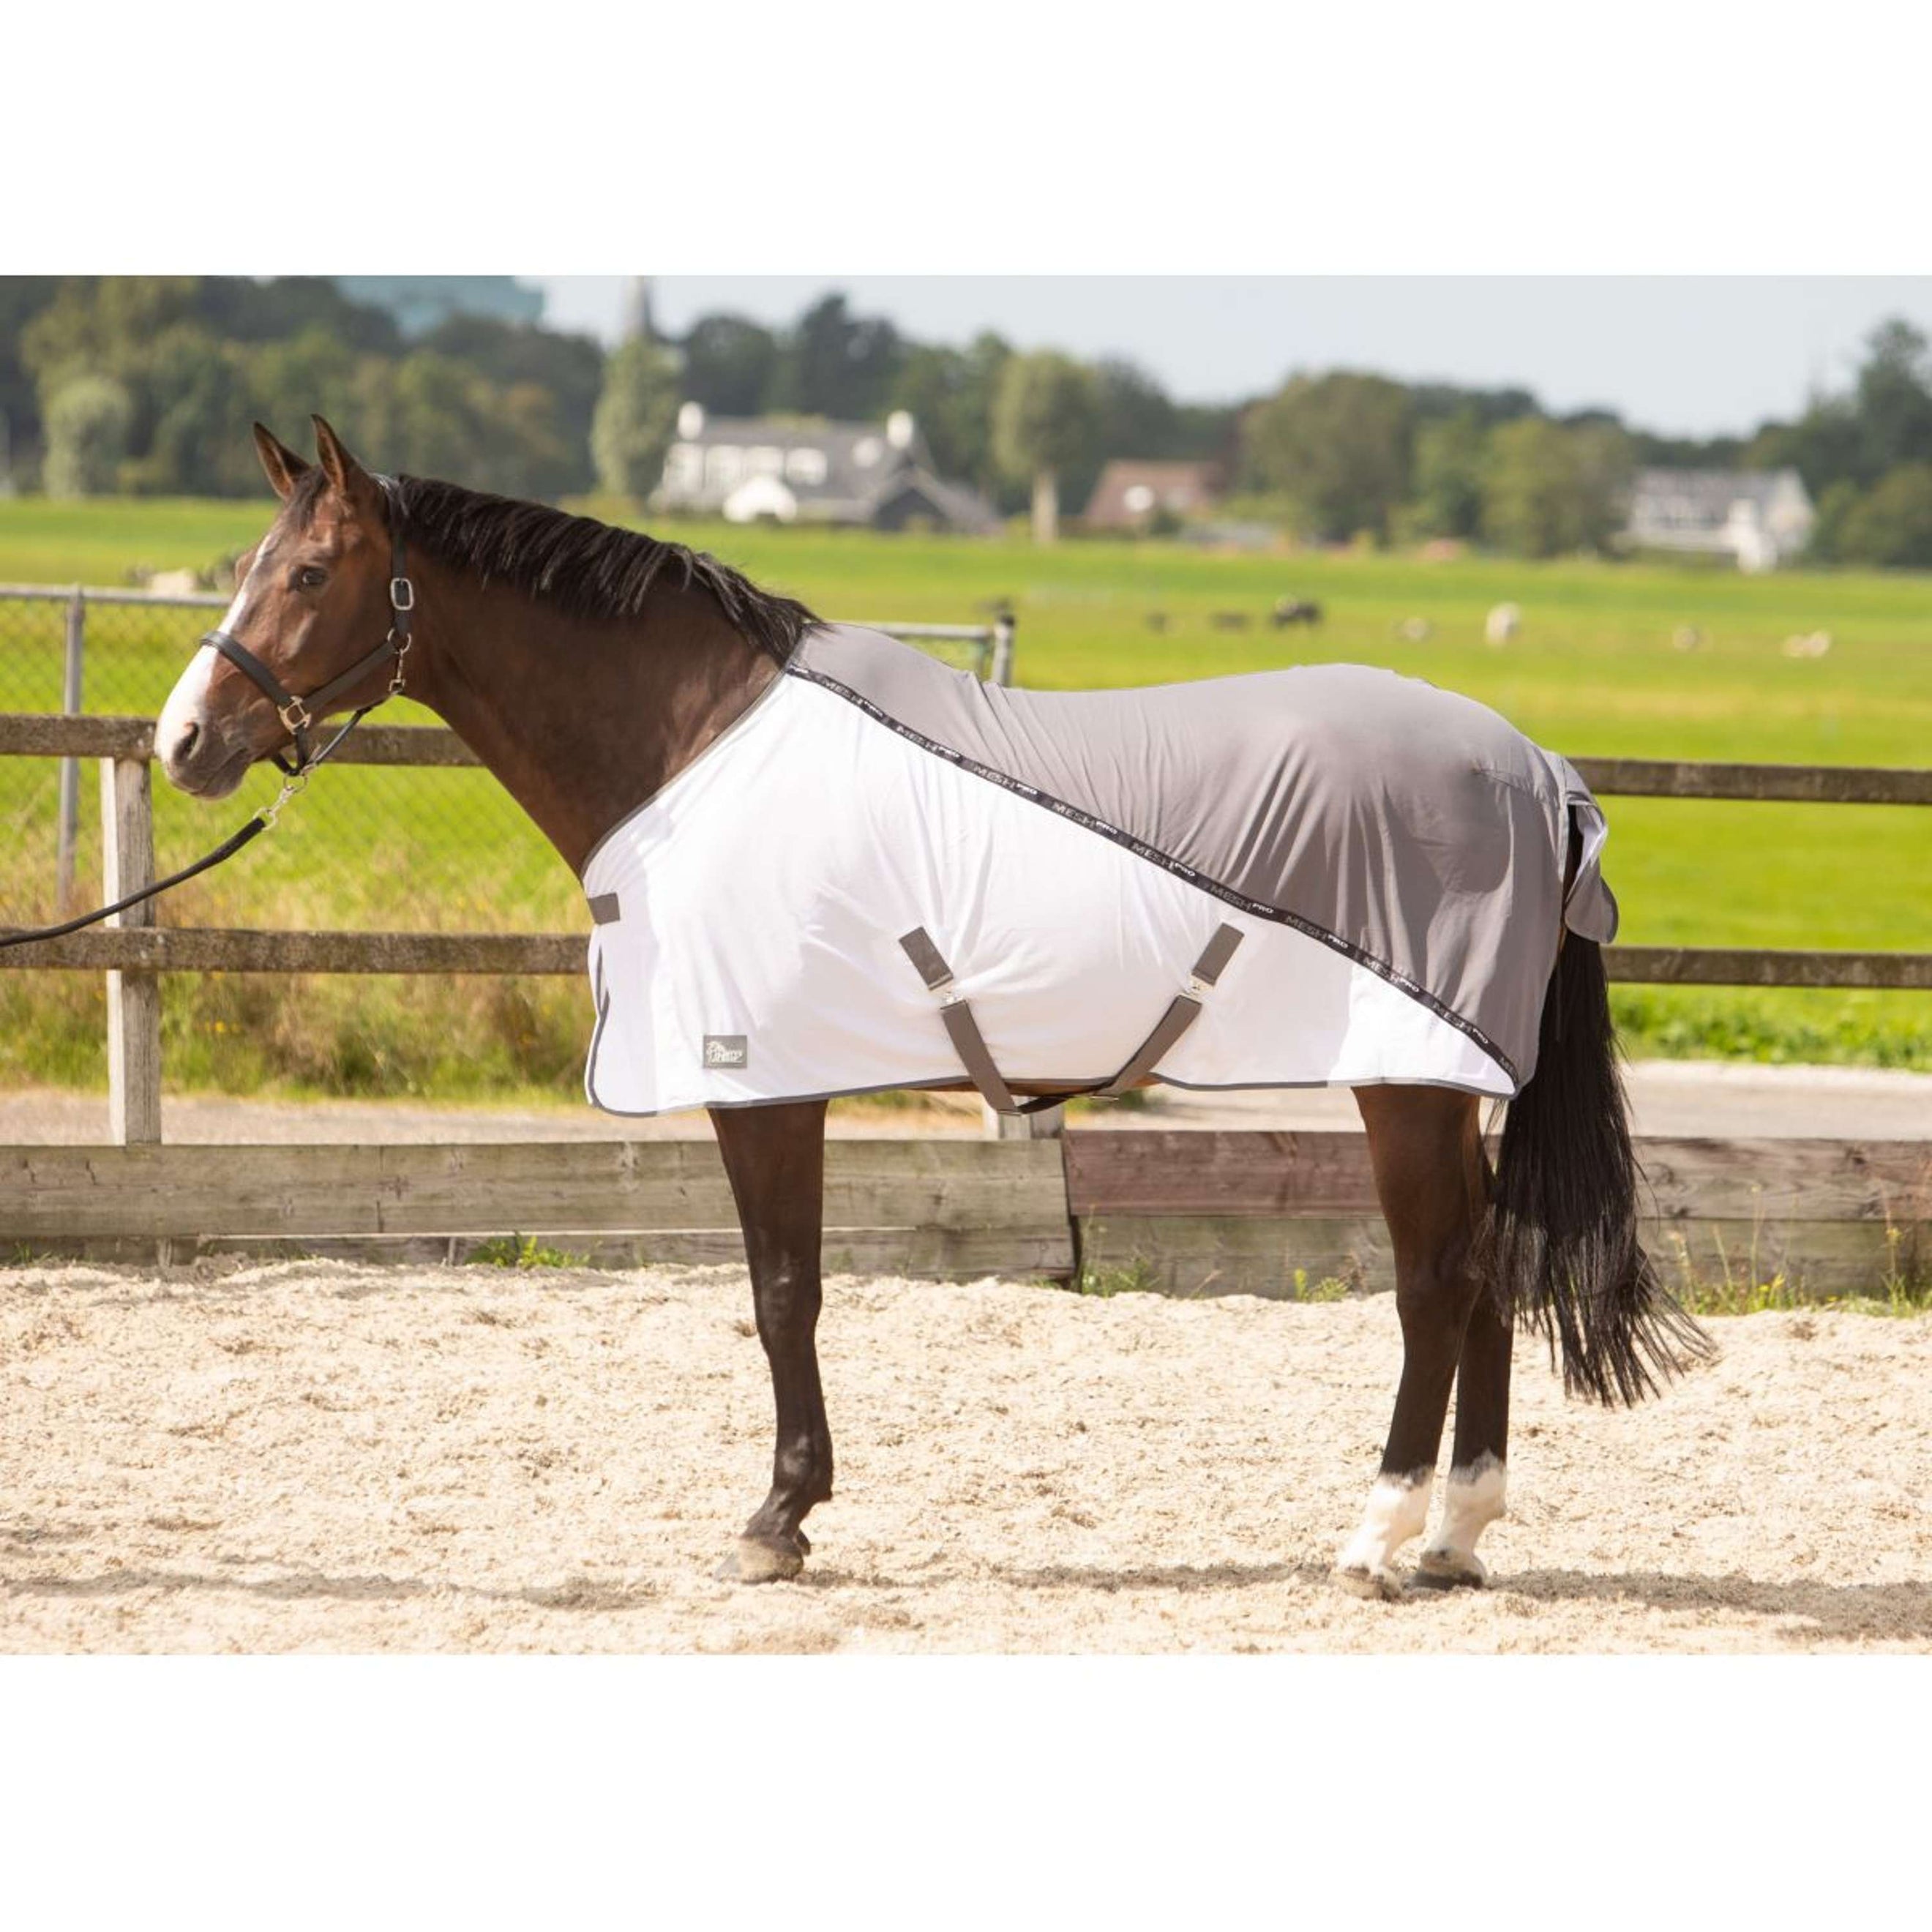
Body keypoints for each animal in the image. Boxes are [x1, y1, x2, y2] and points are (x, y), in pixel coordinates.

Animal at [155, 419, 1708, 1598]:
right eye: (245, 567)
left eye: (308, 572)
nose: (182, 741)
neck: (696, 750)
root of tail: (1535, 771)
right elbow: (787, 1294)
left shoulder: (761, 1080)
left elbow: (784, 1293)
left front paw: (777, 1523)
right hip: (1445, 1084)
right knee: (1491, 1268)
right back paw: (1455, 1540)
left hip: (1407, 1082)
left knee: (1439, 1281)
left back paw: (1377, 1537)